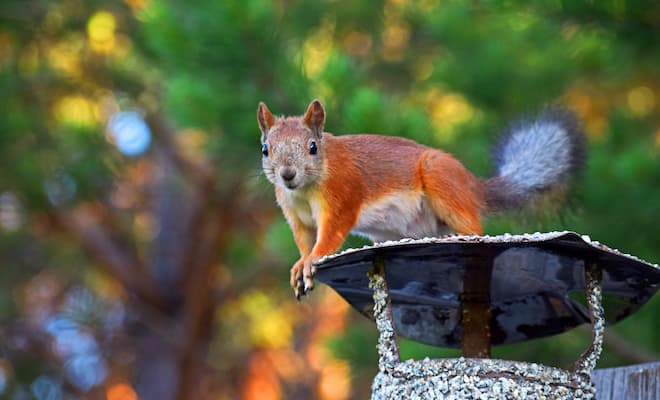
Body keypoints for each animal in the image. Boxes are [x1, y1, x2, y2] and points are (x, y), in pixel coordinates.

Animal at [258, 99, 585, 299]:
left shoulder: (342, 196)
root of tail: (473, 186)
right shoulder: (296, 215)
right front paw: (301, 263)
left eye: (312, 147)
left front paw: (313, 259)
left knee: (474, 229)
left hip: (441, 181)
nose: (287, 174)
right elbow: (303, 239)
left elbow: (330, 234)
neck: (303, 191)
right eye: (265, 149)